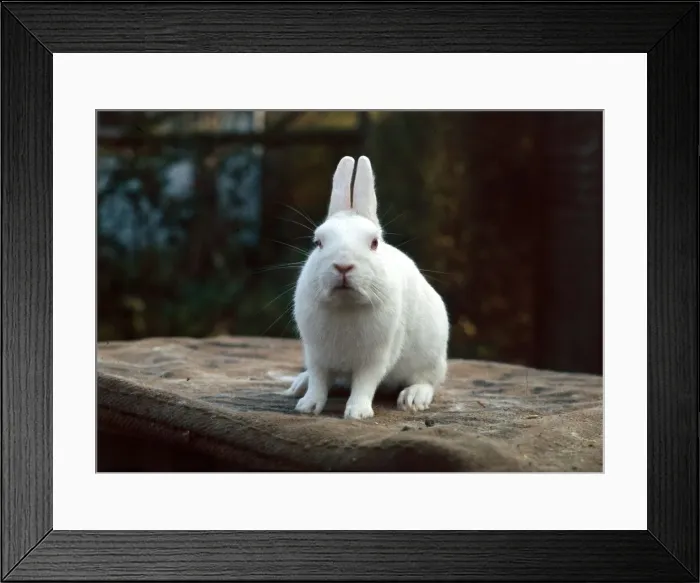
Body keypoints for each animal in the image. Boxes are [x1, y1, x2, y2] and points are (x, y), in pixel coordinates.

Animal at [282, 155, 450, 420]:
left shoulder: (375, 357)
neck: (346, 306)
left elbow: (364, 383)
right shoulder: (316, 354)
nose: (343, 265)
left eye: (374, 243)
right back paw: (299, 385)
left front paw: (357, 413)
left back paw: (413, 398)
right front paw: (307, 406)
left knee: (428, 381)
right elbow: (319, 380)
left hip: (430, 357)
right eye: (318, 243)